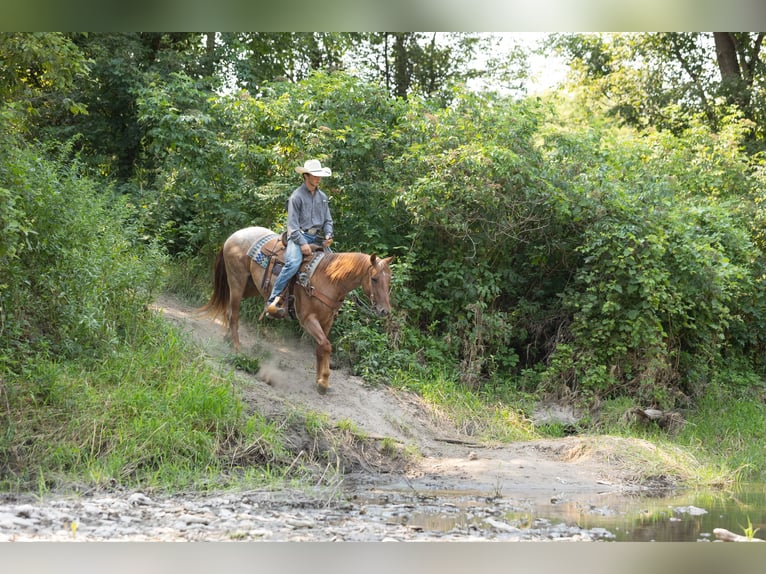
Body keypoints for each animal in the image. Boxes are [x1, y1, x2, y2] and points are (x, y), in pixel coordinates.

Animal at [201, 226, 393, 394]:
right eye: (374, 279)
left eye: (389, 279)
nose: (384, 311)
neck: (329, 279)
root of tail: (234, 235)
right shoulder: (308, 319)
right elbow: (326, 345)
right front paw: (323, 381)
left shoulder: (327, 321)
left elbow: (321, 347)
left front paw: (319, 379)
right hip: (237, 282)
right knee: (234, 314)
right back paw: (237, 348)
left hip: (250, 287)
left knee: (229, 311)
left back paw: (227, 339)